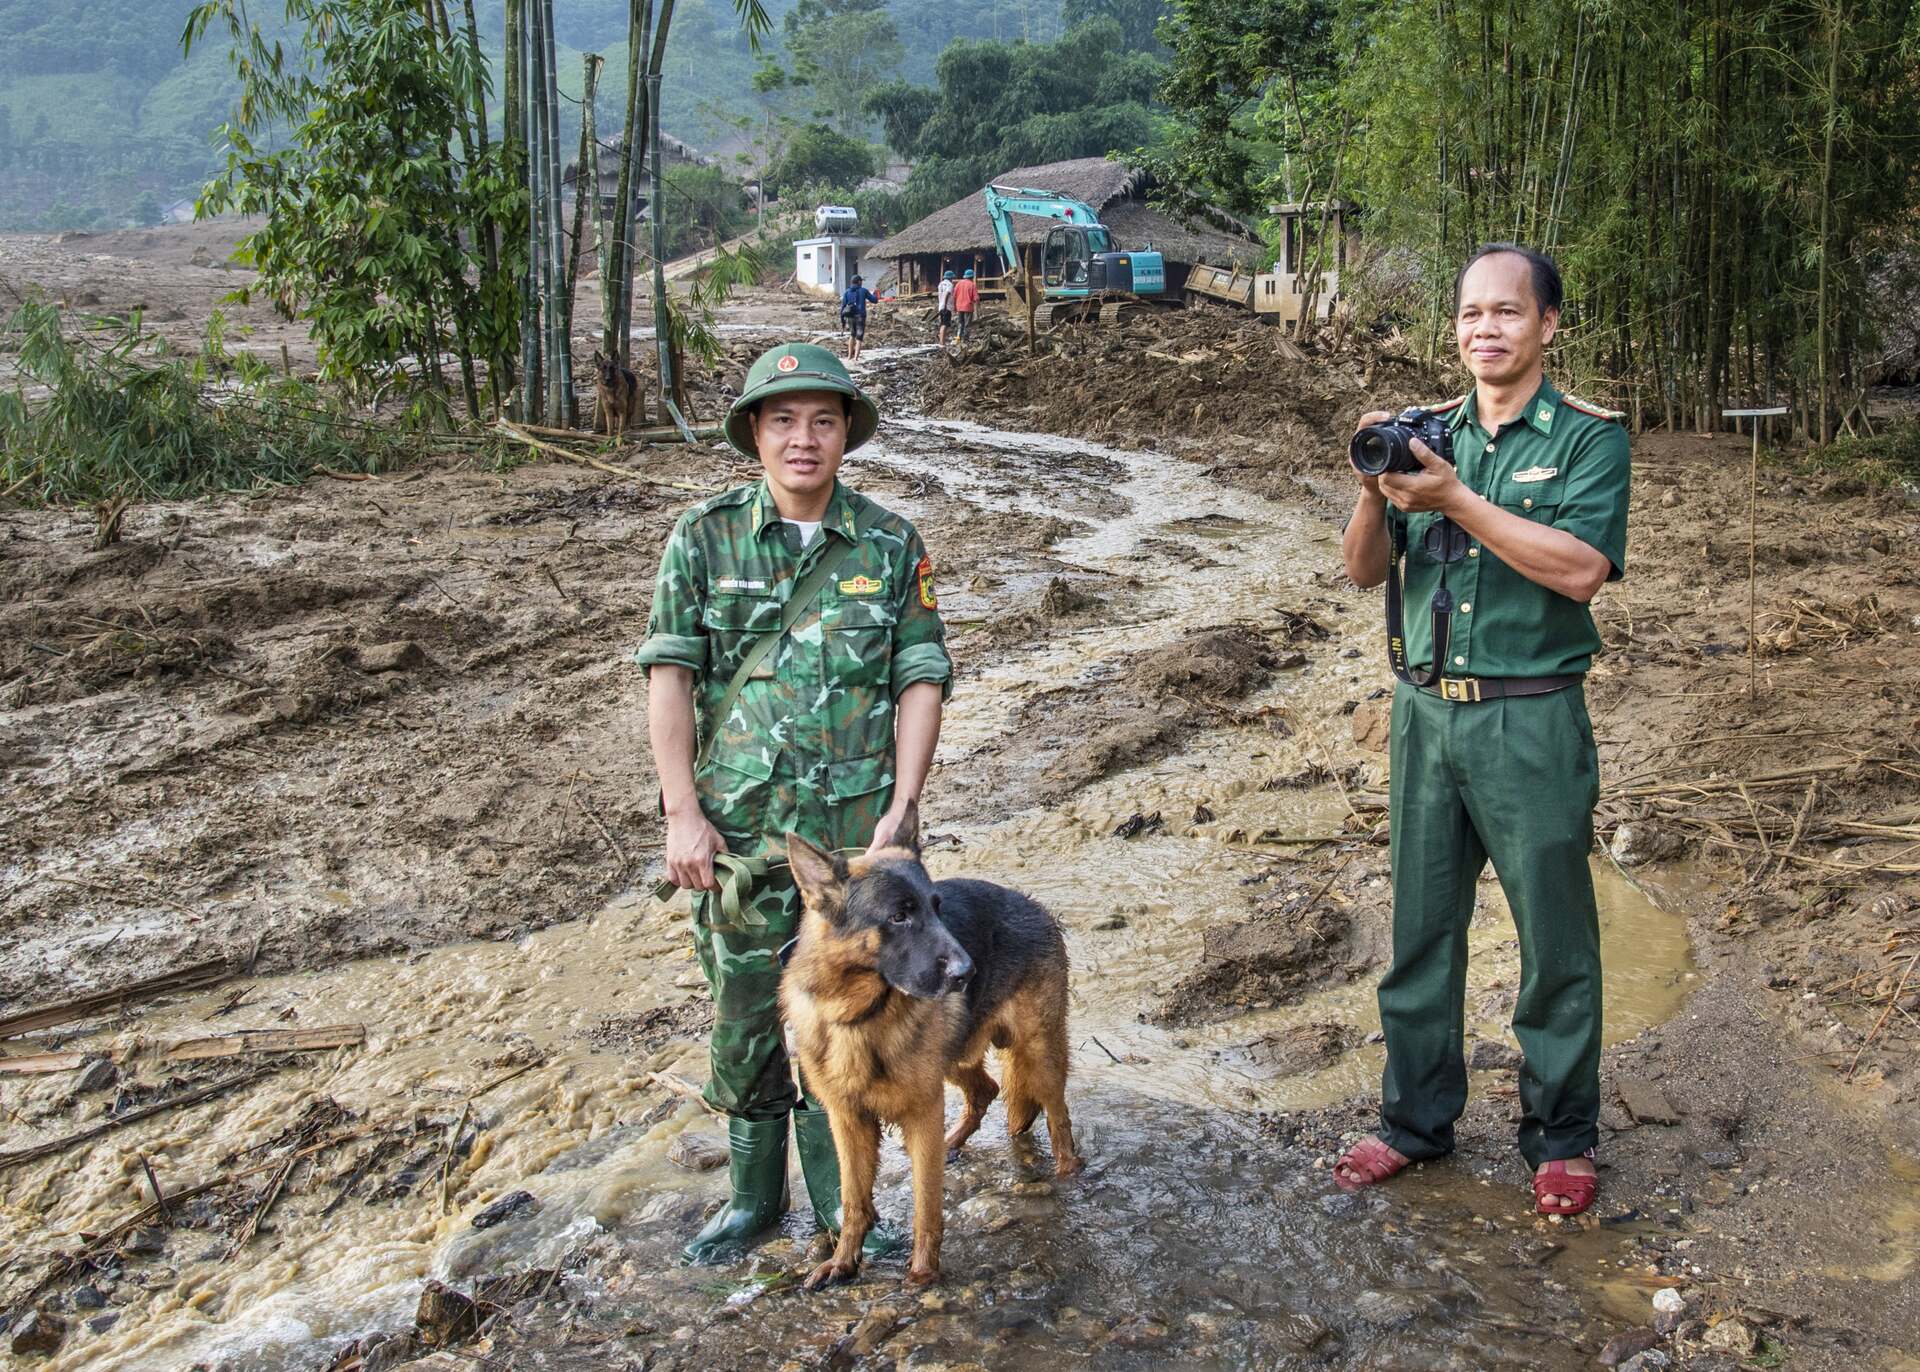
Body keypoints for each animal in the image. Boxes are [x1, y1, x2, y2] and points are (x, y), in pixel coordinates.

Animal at [779, 798, 1082, 1297]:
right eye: (898, 916)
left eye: (937, 908)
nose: (966, 971)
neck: (861, 1017)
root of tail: (1031, 903)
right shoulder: (848, 1120)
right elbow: (854, 1200)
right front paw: (843, 1263)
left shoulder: (921, 1110)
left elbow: (926, 1203)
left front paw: (922, 1273)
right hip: (954, 1057)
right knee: (986, 1089)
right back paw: (955, 1141)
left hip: (1039, 1054)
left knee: (1058, 1118)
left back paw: (1066, 1171)